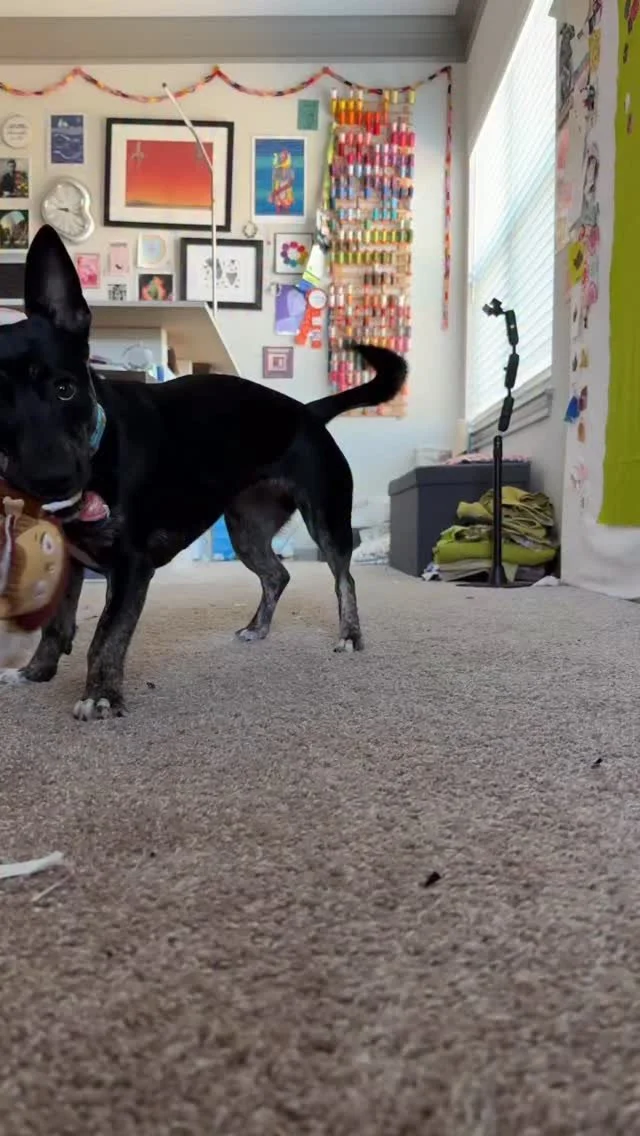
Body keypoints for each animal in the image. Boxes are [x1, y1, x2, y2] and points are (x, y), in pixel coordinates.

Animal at [0, 225, 407, 720]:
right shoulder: (70, 562)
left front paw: (101, 695)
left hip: (326, 520)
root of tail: (308, 412)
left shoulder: (132, 565)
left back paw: (350, 635)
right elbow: (55, 628)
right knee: (277, 575)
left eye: (65, 389)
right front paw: (35, 674)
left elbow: (106, 637)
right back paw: (257, 628)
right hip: (246, 527)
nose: (51, 479)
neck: (100, 439)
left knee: (343, 578)